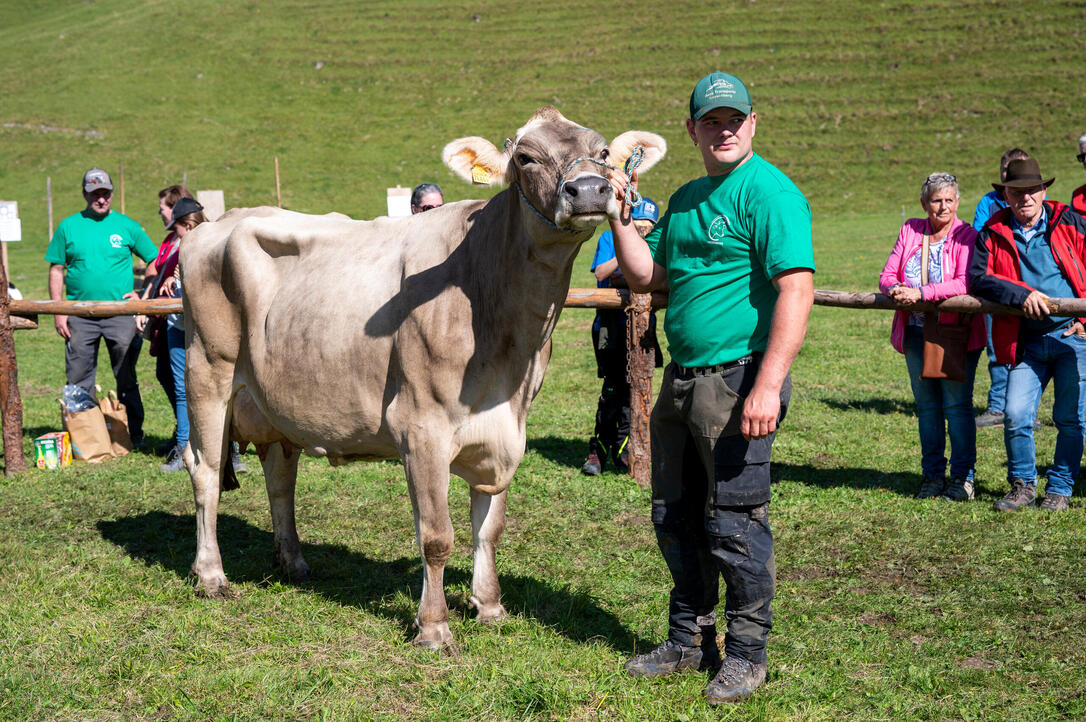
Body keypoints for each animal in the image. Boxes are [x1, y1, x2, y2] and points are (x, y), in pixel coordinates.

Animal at [182, 105, 664, 647]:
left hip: (273, 398)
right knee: (204, 470)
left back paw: (294, 563)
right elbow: (437, 536)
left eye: (602, 153)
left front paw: (489, 606)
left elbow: (489, 527)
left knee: (281, 475)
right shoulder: (420, 426)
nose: (588, 190)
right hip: (209, 370)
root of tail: (218, 222)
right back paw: (211, 575)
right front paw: (433, 627)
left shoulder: (506, 430)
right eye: (525, 157)